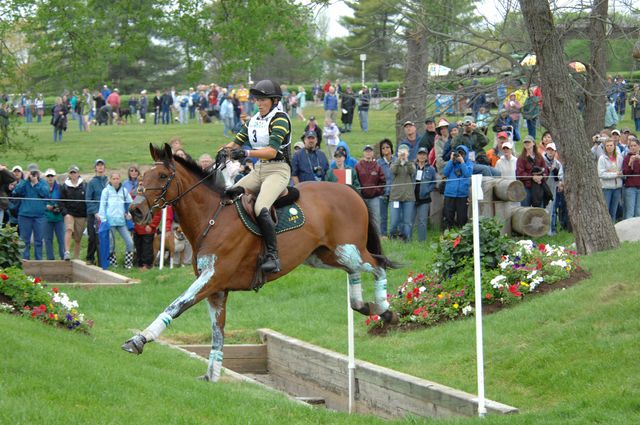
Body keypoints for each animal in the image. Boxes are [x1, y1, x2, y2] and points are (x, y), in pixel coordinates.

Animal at [122, 142, 398, 380]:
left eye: (161, 176)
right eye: (143, 175)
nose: (135, 210)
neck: (212, 218)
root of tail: (350, 190)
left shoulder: (213, 278)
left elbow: (175, 306)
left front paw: (139, 340)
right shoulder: (217, 291)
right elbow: (217, 333)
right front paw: (212, 377)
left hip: (347, 248)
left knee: (378, 264)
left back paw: (384, 310)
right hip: (324, 255)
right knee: (355, 269)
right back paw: (364, 305)